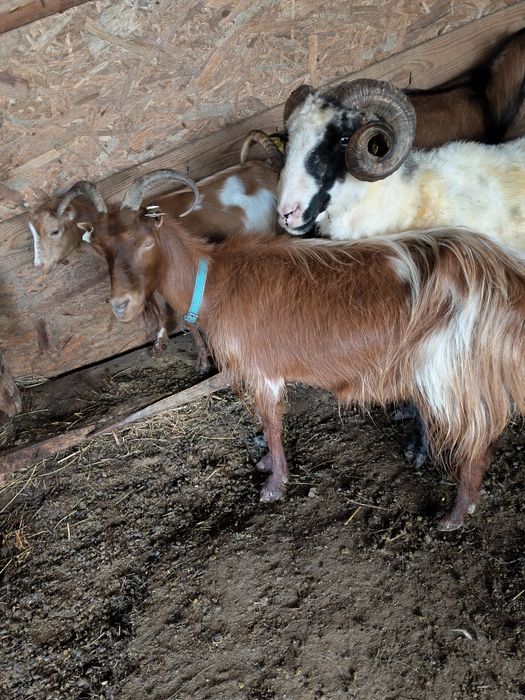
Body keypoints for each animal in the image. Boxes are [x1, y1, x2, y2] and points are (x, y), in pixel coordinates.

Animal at [87, 169, 525, 530]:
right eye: (101, 249)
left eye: (146, 242)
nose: (120, 305)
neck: (212, 282)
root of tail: (504, 277)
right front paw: (266, 464)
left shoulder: (262, 370)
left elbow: (272, 425)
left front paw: (274, 485)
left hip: (449, 373)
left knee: (477, 445)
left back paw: (454, 516)